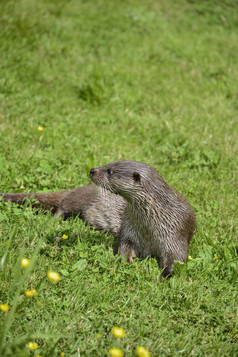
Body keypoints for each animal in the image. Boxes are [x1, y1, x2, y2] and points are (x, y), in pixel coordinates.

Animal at [0, 161, 196, 276]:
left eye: (109, 171)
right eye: (108, 164)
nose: (92, 170)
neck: (149, 228)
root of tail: (79, 188)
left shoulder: (176, 232)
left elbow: (177, 256)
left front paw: (167, 273)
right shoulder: (129, 231)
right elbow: (124, 246)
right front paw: (126, 262)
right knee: (62, 205)